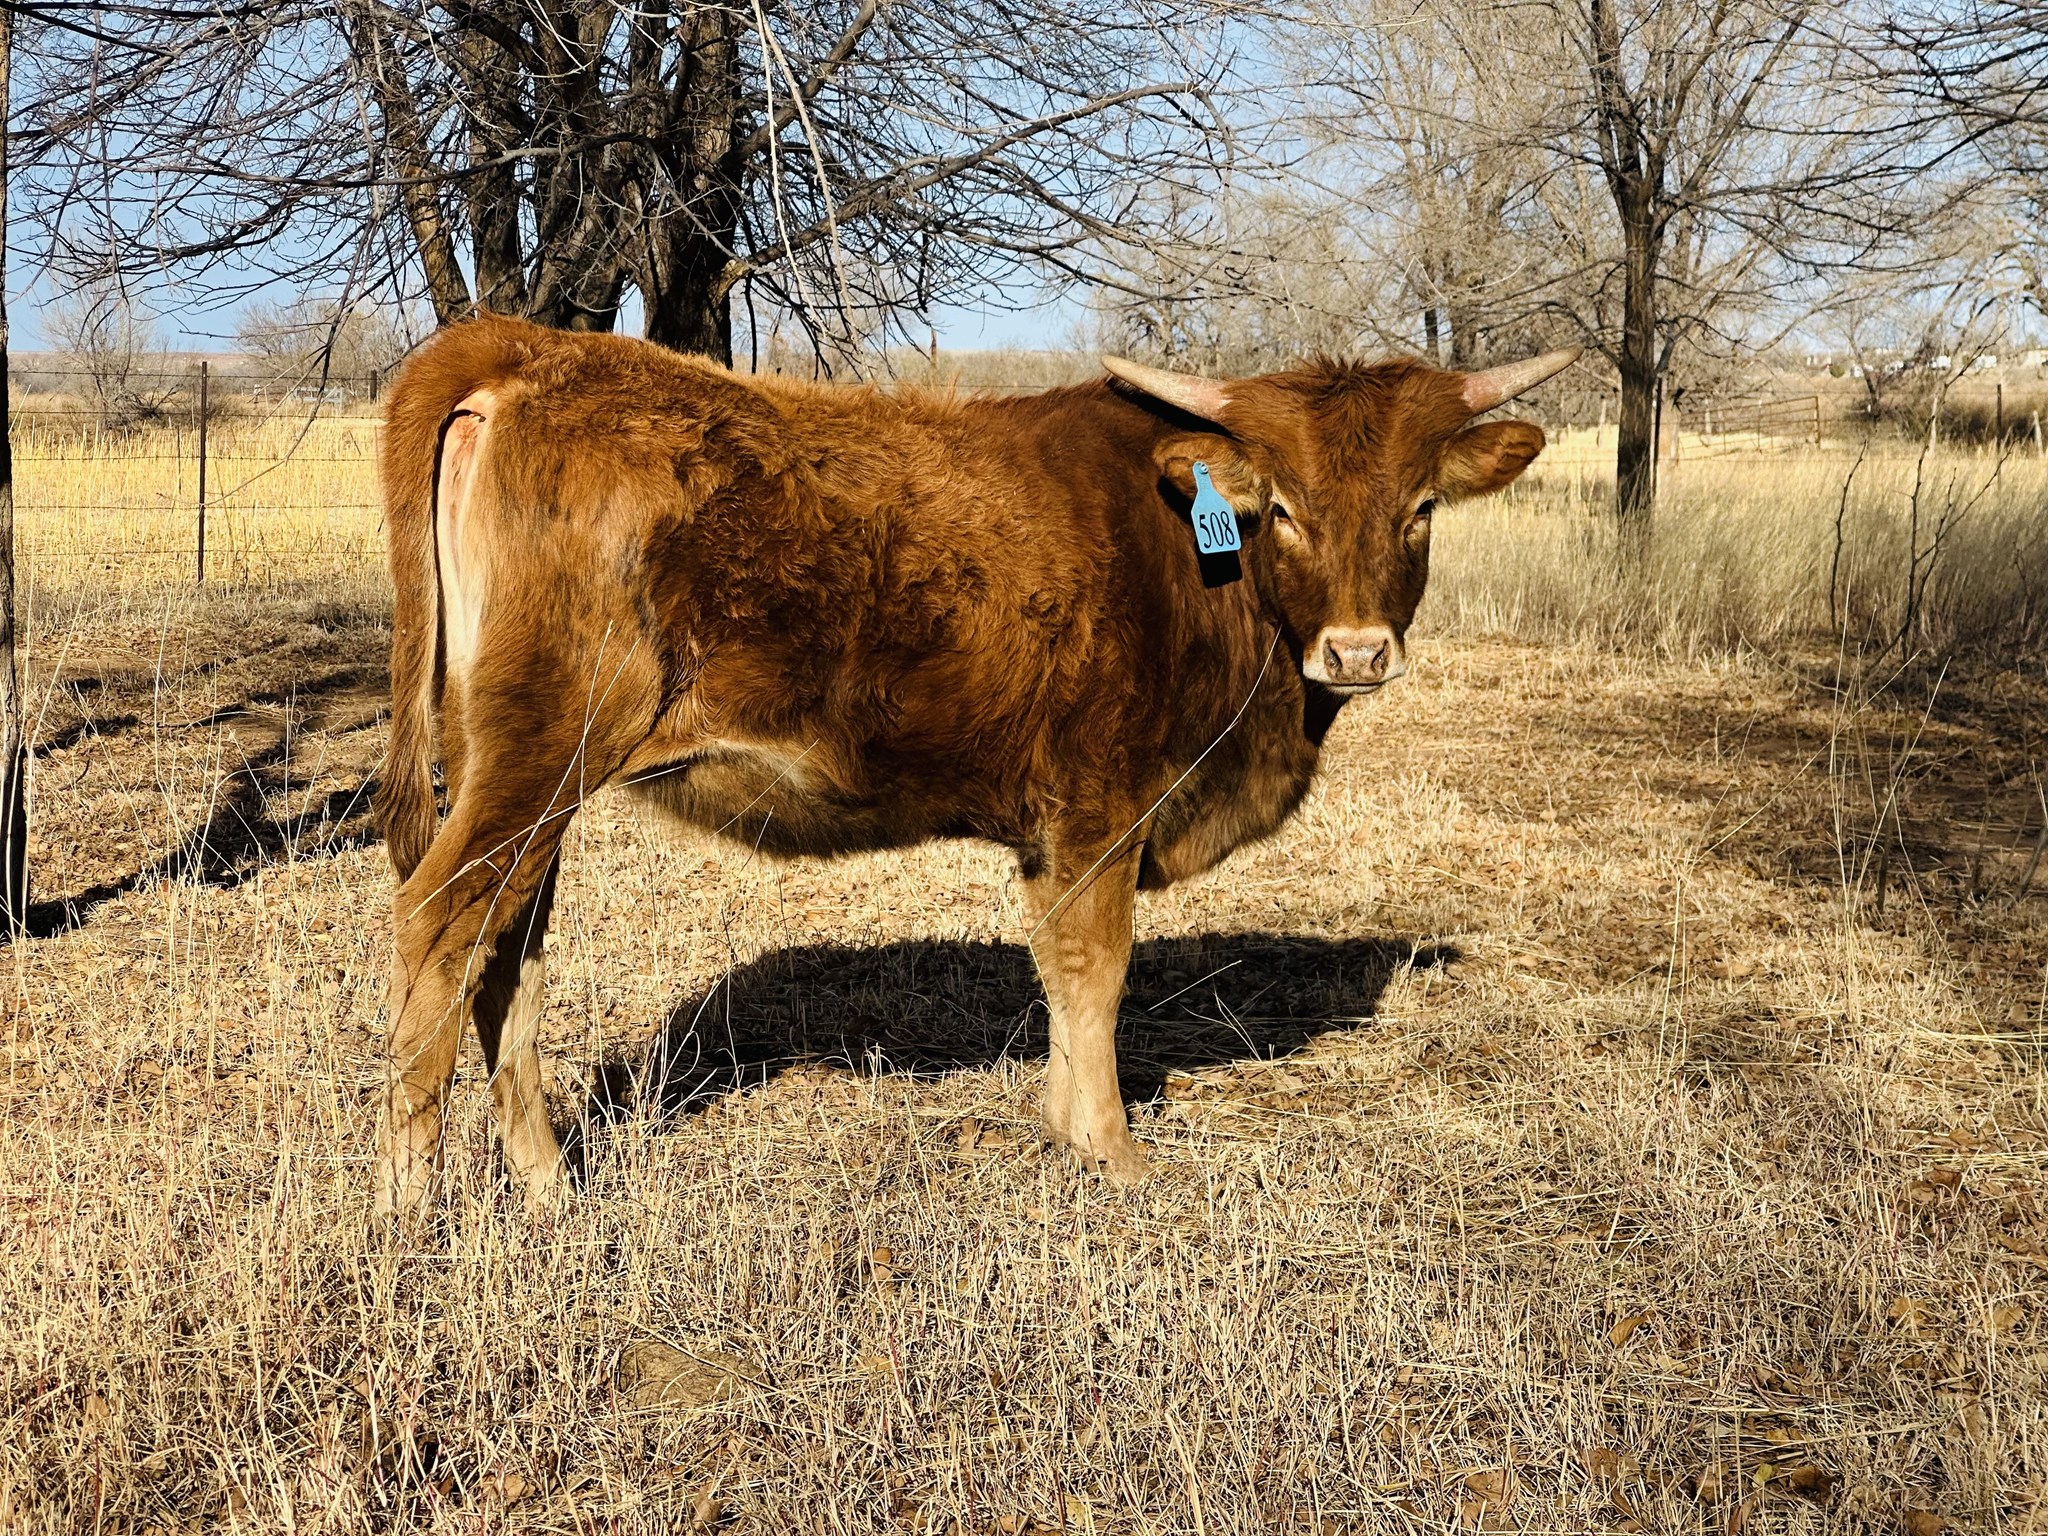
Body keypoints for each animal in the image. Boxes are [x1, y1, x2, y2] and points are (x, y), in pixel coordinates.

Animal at [372, 313, 1576, 1215]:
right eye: (1280, 507)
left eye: (1420, 508)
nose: (1358, 651)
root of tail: (532, 352)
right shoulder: (1101, 803)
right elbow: (1095, 969)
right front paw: (1113, 1152)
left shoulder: (1057, 830)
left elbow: (1057, 972)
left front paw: (1062, 1127)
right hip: (538, 757)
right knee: (440, 921)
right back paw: (410, 1206)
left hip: (528, 778)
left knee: (507, 951)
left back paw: (544, 1184)